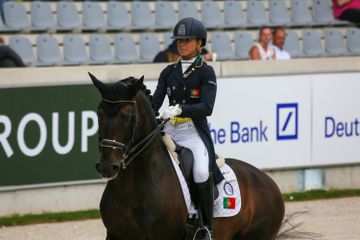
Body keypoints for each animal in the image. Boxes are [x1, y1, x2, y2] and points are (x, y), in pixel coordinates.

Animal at [89, 73, 284, 240]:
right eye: (99, 114)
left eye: (128, 116)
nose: (107, 166)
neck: (131, 188)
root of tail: (269, 182)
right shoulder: (114, 235)